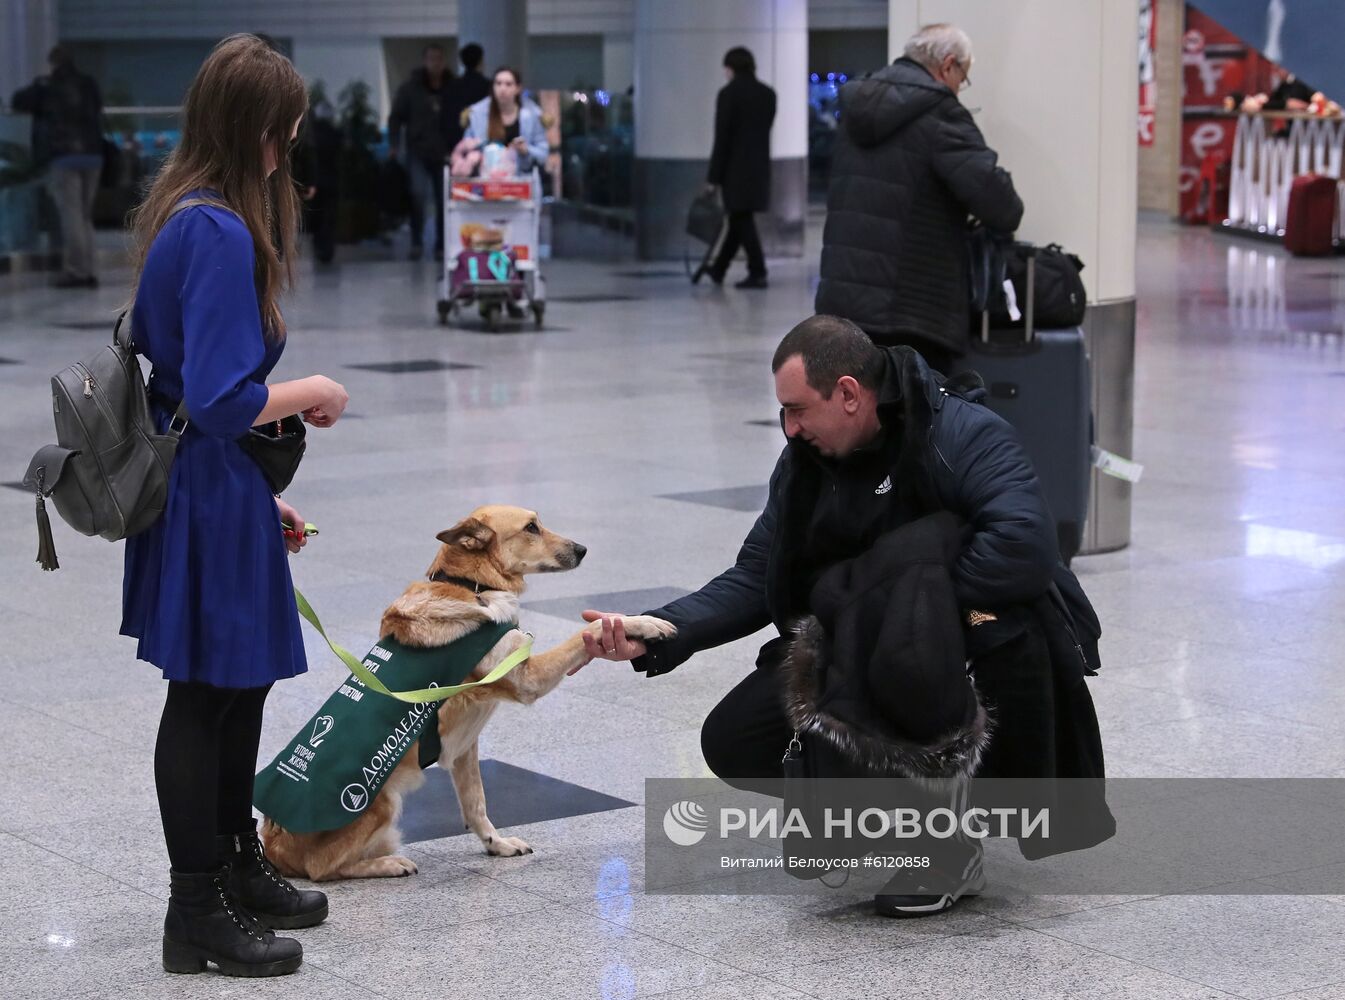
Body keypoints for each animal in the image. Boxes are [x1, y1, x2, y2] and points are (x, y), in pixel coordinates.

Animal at [262, 508, 677, 882]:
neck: (473, 588)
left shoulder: (464, 746)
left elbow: (476, 803)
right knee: (321, 868)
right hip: (377, 803)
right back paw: (386, 864)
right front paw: (644, 623)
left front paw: (497, 844)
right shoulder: (527, 679)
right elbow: (588, 631)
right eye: (531, 527)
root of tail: (273, 843)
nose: (583, 549)